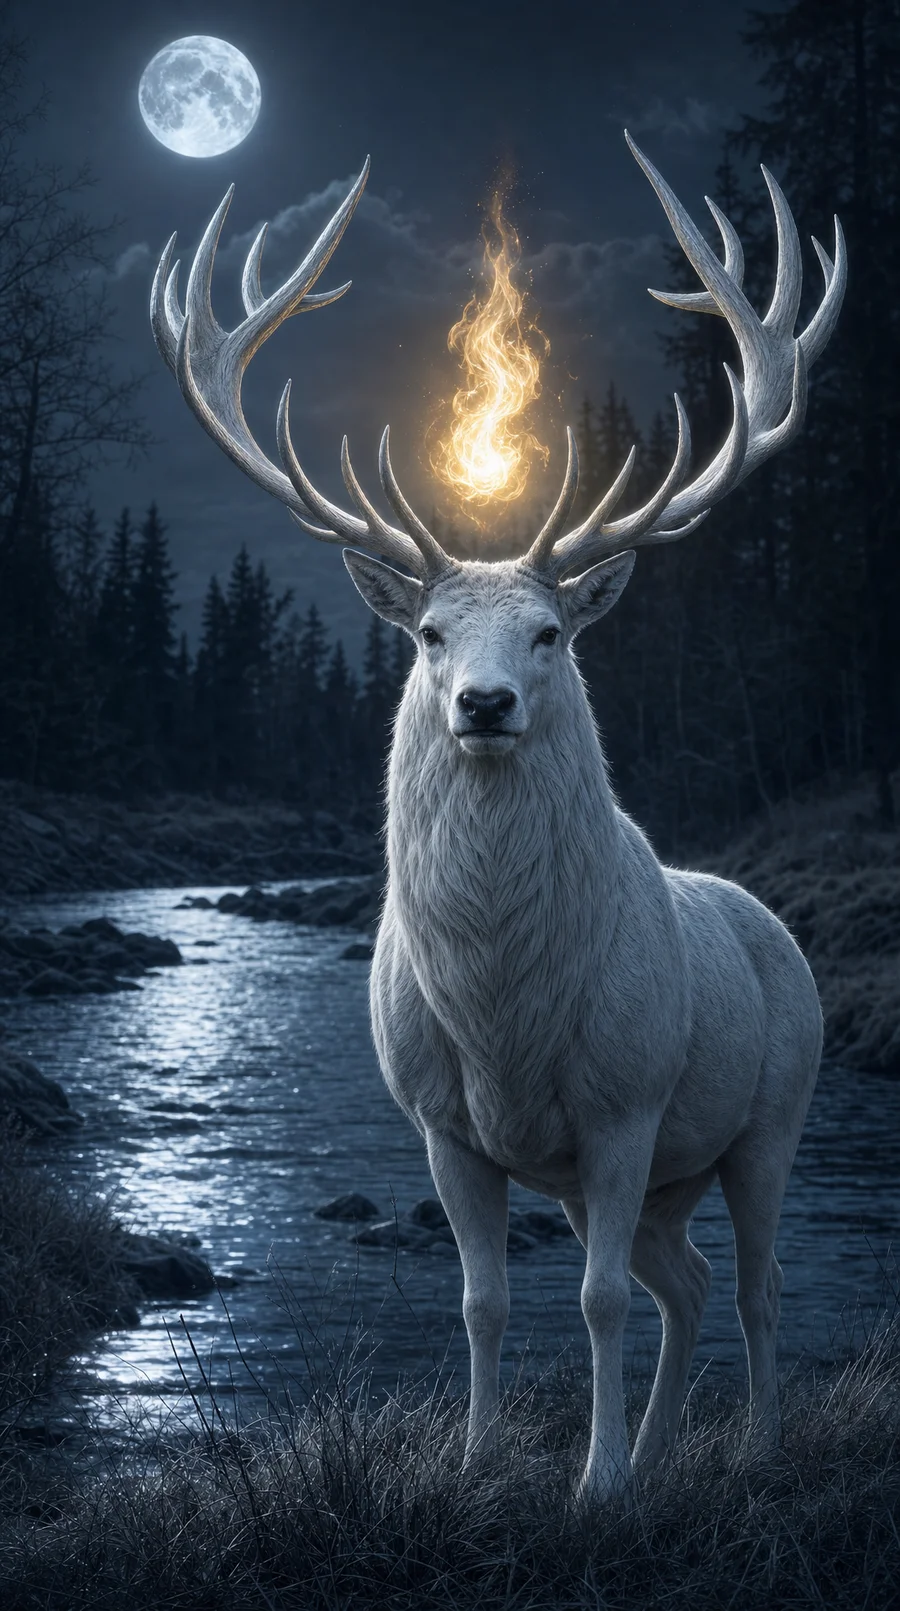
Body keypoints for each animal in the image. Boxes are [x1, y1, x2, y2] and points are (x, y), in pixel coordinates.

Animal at [151, 134, 846, 1502]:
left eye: (550, 633)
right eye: (427, 633)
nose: (483, 704)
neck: (501, 1006)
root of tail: (770, 920)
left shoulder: (625, 1106)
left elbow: (594, 1303)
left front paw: (598, 1486)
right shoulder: (445, 1128)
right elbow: (483, 1302)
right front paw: (482, 1464)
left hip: (771, 1113)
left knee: (758, 1282)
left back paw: (754, 1446)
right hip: (661, 1173)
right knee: (684, 1280)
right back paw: (672, 1443)